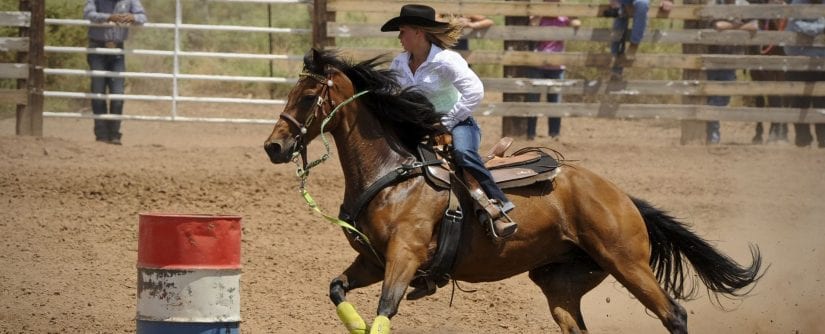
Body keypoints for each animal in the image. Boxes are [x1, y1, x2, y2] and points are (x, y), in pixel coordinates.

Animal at [262, 47, 760, 334]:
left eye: (307, 97)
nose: (274, 146)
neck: (393, 175)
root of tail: (619, 195)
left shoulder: (404, 256)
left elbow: (385, 312)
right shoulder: (371, 261)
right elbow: (337, 290)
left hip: (627, 262)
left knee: (674, 315)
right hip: (561, 283)